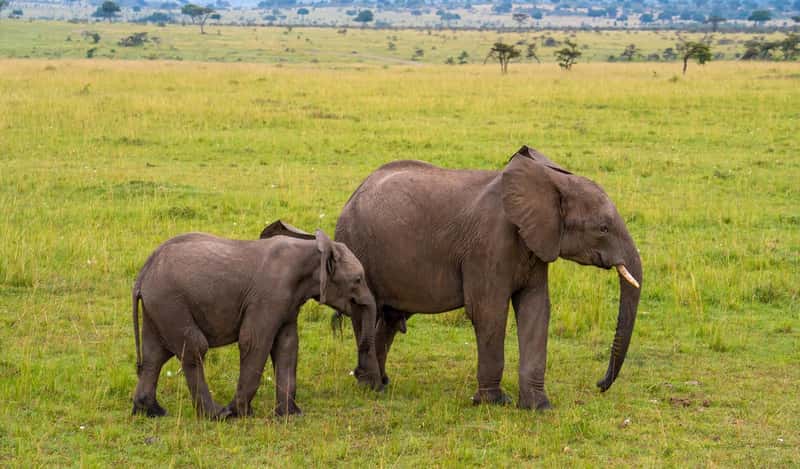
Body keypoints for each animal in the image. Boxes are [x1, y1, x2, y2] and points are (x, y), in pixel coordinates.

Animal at [131, 228, 382, 419]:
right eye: (358, 280)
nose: (359, 373)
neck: (312, 249)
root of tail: (143, 273)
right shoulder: (269, 295)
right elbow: (254, 341)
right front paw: (240, 413)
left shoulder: (288, 303)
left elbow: (288, 345)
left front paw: (291, 415)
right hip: (170, 301)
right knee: (194, 347)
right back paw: (217, 415)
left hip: (159, 306)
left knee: (155, 354)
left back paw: (151, 412)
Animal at [331, 145, 642, 410]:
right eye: (603, 228)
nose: (599, 385)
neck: (551, 181)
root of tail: (353, 195)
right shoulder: (488, 245)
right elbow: (489, 311)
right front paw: (495, 402)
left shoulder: (536, 243)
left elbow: (536, 308)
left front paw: (538, 407)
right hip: (357, 249)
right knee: (367, 314)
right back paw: (370, 386)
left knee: (391, 319)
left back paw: (383, 383)